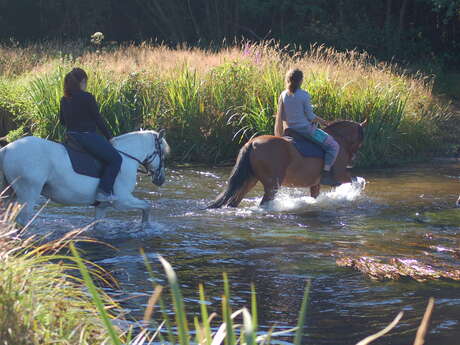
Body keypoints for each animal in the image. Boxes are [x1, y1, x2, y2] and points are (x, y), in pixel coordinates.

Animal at [0, 129, 170, 226]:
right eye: (162, 153)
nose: (161, 179)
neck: (127, 157)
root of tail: (7, 148)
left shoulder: (102, 207)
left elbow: (98, 225)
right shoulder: (123, 201)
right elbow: (147, 206)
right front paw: (145, 227)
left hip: (10, 194)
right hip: (28, 194)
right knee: (21, 220)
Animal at [209, 120, 366, 207]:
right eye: (360, 140)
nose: (354, 159)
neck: (339, 140)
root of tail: (252, 143)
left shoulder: (315, 183)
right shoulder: (341, 175)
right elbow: (357, 180)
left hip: (250, 181)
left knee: (234, 202)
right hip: (272, 185)